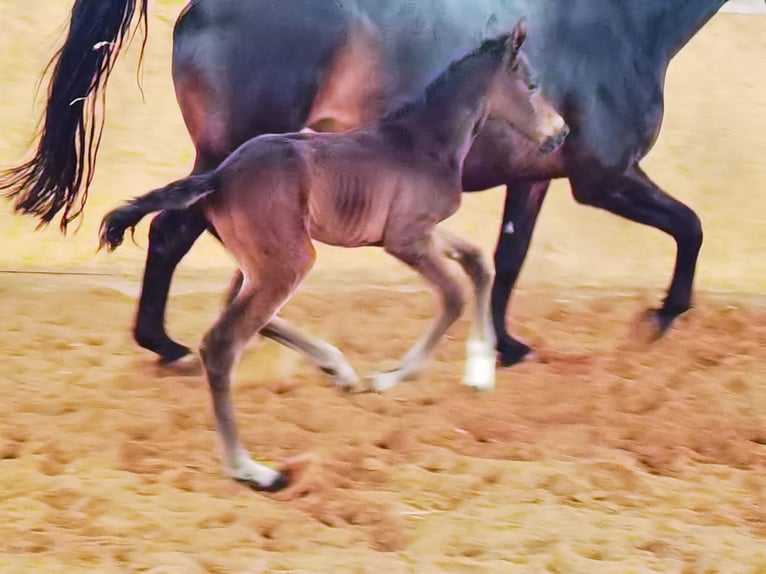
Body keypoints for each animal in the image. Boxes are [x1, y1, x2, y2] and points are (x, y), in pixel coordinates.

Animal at [99, 22, 568, 490]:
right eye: (531, 85)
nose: (561, 133)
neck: (423, 140)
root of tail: (220, 175)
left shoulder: (421, 230)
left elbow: (477, 261)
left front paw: (480, 370)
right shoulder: (405, 239)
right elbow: (453, 295)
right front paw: (391, 377)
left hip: (264, 260)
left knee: (241, 308)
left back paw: (336, 370)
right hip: (291, 260)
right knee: (222, 344)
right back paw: (251, 468)